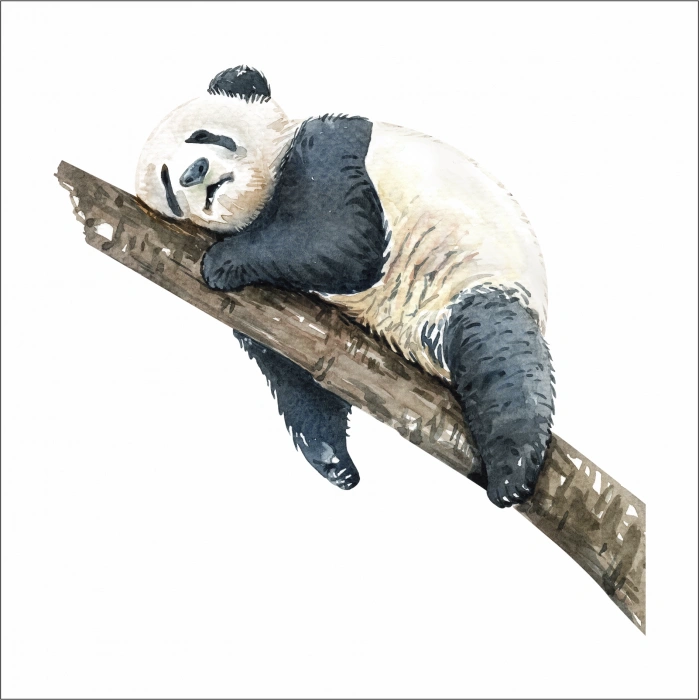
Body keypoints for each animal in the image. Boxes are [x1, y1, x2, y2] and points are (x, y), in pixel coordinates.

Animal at [135, 65, 555, 508]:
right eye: (168, 187)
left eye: (203, 136)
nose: (193, 172)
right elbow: (291, 372)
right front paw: (332, 459)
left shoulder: (329, 148)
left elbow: (346, 241)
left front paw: (223, 262)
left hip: (473, 279)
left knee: (500, 356)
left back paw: (512, 472)